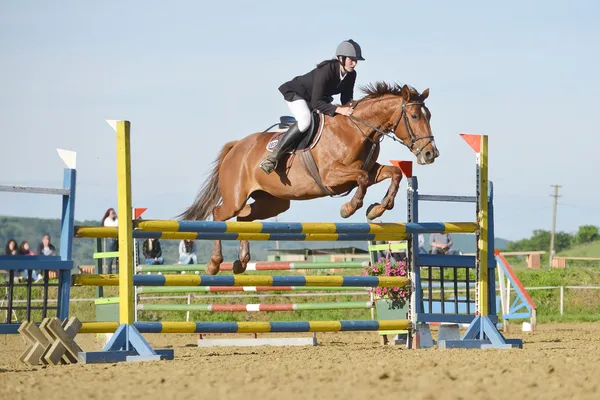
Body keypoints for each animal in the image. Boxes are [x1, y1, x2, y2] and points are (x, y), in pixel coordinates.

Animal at [176, 81, 438, 276]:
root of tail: (236, 147)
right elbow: (362, 179)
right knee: (219, 214)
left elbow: (393, 173)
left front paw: (377, 209)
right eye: (414, 116)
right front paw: (349, 208)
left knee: (244, 218)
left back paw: (241, 262)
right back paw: (214, 264)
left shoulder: (371, 170)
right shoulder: (332, 177)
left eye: (429, 115)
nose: (430, 154)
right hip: (236, 197)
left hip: (273, 202)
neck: (356, 129)